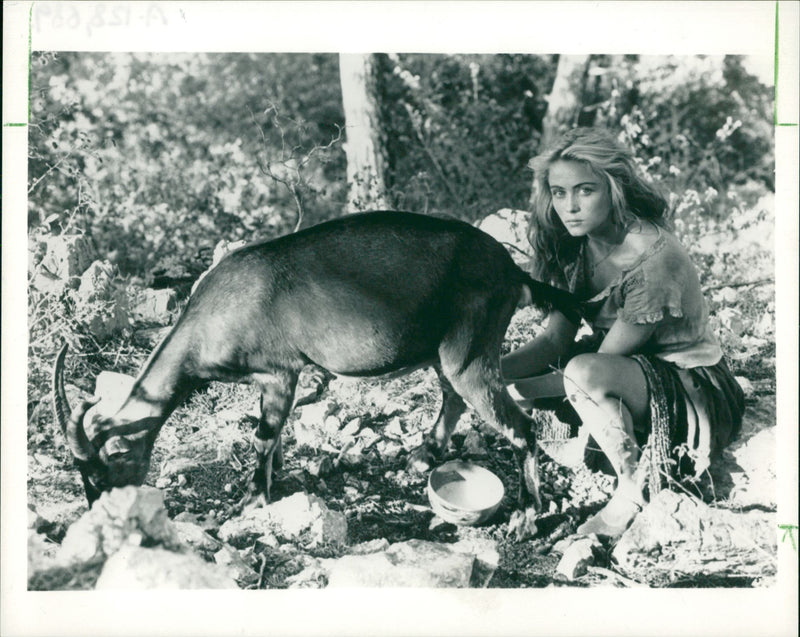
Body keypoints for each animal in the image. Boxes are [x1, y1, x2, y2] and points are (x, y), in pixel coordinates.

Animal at [51, 211, 580, 536]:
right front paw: (276, 477)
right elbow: (273, 433)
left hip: (469, 350)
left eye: (102, 470)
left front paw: (250, 500)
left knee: (520, 425)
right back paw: (422, 456)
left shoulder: (281, 371)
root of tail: (514, 273)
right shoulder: (271, 380)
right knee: (452, 397)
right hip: (444, 350)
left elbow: (263, 435)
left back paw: (526, 518)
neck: (213, 313)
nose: (101, 516)